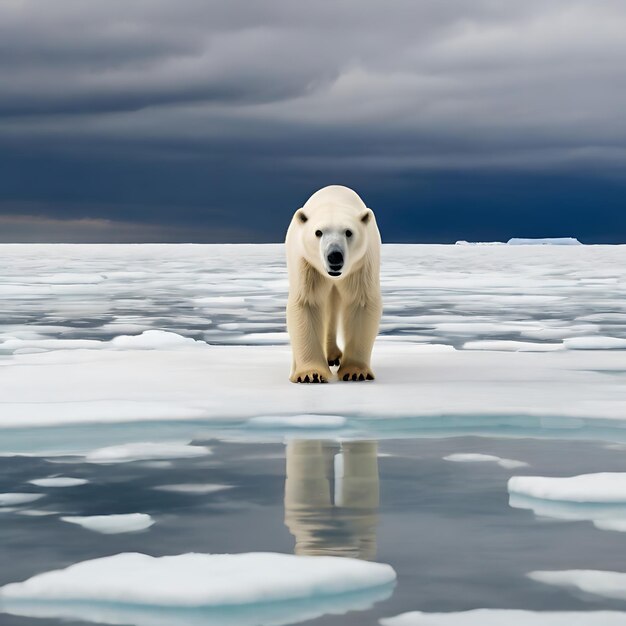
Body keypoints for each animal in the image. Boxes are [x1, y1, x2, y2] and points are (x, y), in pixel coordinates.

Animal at [284, 183, 380, 382]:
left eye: (349, 232)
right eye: (318, 232)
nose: (334, 255)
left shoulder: (362, 264)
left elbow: (360, 302)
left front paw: (356, 372)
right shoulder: (307, 264)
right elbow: (307, 303)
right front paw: (310, 374)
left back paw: (334, 356)